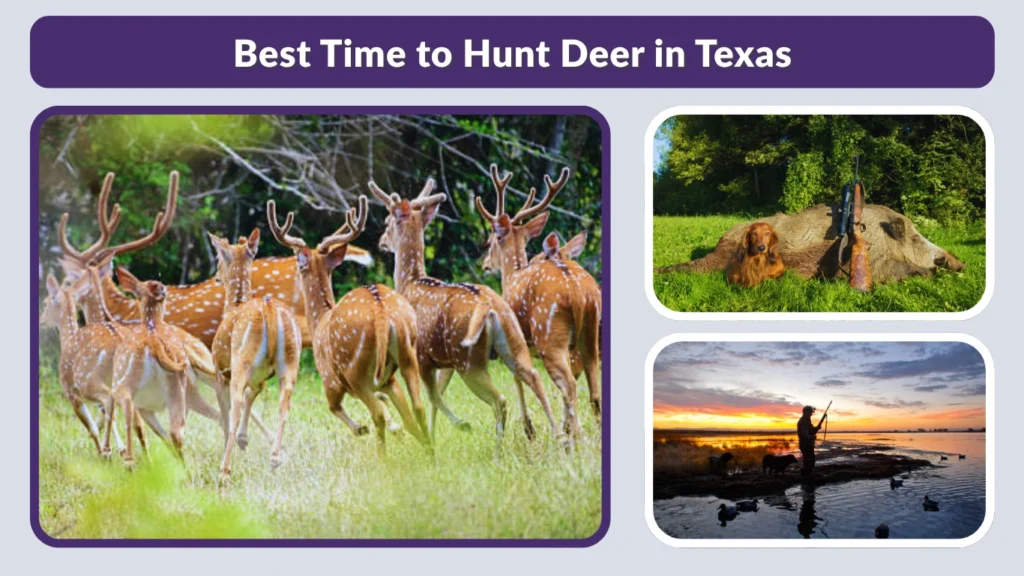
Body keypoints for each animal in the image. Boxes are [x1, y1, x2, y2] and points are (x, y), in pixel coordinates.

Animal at [207, 228, 303, 481]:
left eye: (219, 259)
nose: (216, 277)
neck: (233, 305)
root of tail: (268, 310)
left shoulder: (220, 371)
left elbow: (227, 411)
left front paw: (231, 444)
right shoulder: (261, 376)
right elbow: (254, 394)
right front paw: (244, 440)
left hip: (242, 359)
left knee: (236, 406)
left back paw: (224, 471)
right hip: (291, 359)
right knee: (284, 404)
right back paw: (275, 458)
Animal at [267, 197, 431, 455]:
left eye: (297, 263)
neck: (319, 321)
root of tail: (380, 312)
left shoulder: (329, 380)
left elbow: (333, 407)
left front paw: (360, 429)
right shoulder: (387, 381)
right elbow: (405, 417)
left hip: (354, 368)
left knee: (377, 415)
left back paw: (384, 457)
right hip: (407, 352)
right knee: (417, 408)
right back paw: (430, 453)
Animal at [369, 178, 559, 452]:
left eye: (387, 222)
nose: (381, 241)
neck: (409, 284)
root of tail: (490, 307)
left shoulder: (421, 355)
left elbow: (430, 397)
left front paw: (452, 429)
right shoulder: (442, 361)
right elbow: (435, 396)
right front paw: (433, 437)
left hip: (467, 357)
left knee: (499, 399)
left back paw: (497, 449)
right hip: (513, 342)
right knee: (534, 377)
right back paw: (560, 437)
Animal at [476, 165, 602, 440]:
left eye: (491, 240)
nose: (485, 264)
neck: (511, 275)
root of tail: (577, 292)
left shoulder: (511, 338)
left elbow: (517, 378)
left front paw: (529, 428)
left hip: (549, 335)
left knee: (570, 385)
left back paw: (572, 437)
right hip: (588, 334)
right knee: (594, 391)